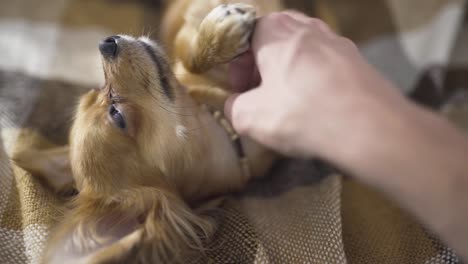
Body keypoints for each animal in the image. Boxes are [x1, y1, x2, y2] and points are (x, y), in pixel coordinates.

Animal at [12, 1, 282, 262]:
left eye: (96, 90)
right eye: (117, 115)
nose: (105, 44)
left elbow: (186, 52)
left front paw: (214, 34)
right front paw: (225, 28)